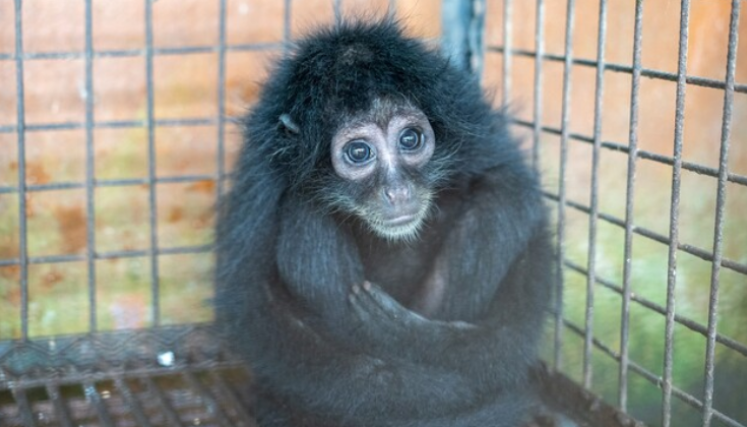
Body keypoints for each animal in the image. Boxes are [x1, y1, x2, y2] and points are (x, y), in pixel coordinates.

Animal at [214, 19, 554, 427]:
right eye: (359, 151)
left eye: (410, 138)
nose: (398, 190)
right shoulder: (263, 163)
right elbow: (252, 303)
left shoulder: (471, 119)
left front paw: (409, 339)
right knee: (305, 205)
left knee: (506, 192)